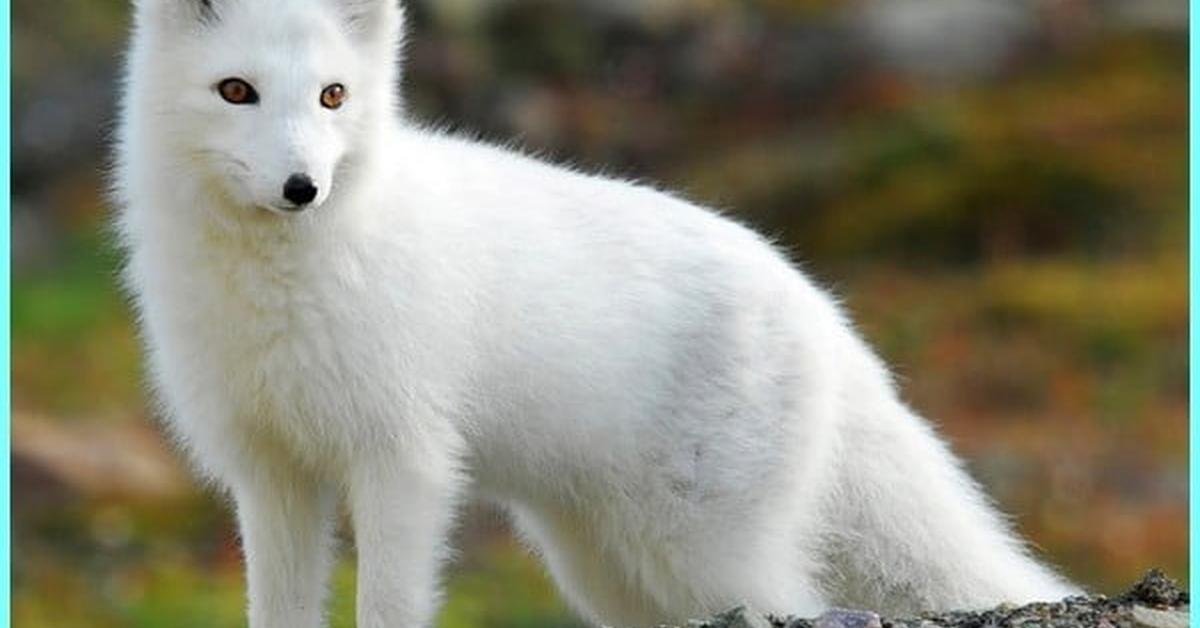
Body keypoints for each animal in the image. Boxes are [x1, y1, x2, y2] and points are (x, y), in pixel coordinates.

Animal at [117, 1, 1084, 628]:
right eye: (235, 90)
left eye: (332, 97)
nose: (301, 187)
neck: (275, 288)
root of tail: (819, 307)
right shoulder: (270, 472)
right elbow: (279, 607)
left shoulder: (404, 459)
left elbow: (390, 605)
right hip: (606, 566)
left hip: (700, 553)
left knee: (798, 606)